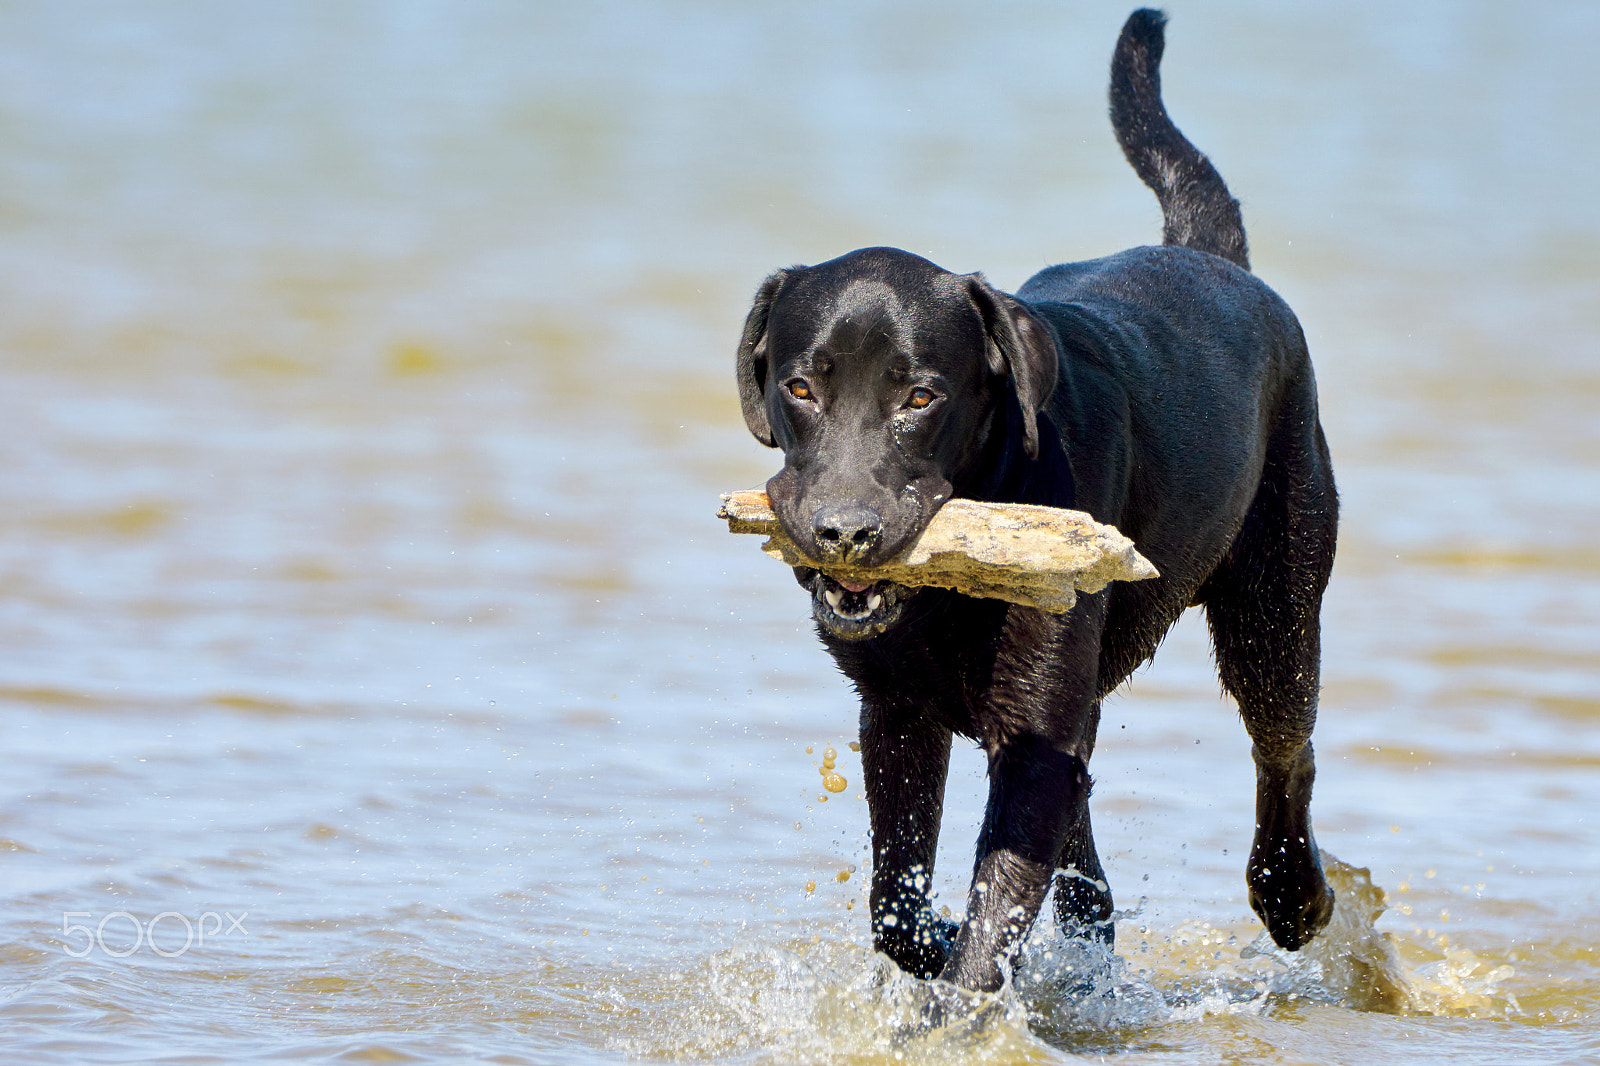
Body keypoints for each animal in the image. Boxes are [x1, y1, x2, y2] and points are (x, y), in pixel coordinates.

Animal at [736, 8, 1337, 992]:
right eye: (800, 387)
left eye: (921, 396)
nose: (845, 532)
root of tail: (1207, 255)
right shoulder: (896, 713)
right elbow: (897, 899)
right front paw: (938, 939)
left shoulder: (1030, 723)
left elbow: (994, 911)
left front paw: (960, 995)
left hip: (1274, 607)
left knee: (1287, 748)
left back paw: (1294, 898)